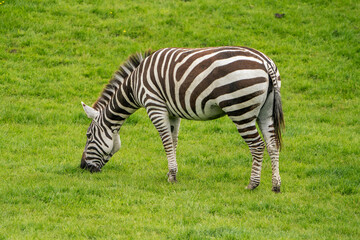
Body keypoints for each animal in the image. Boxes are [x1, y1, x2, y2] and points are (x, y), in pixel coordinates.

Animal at [81, 47, 284, 192]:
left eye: (88, 135)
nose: (83, 167)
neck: (134, 85)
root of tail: (265, 62)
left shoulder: (154, 106)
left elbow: (166, 143)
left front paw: (171, 176)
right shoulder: (172, 113)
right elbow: (173, 141)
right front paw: (171, 173)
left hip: (240, 110)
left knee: (257, 145)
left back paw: (253, 184)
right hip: (266, 111)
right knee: (272, 144)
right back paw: (275, 185)